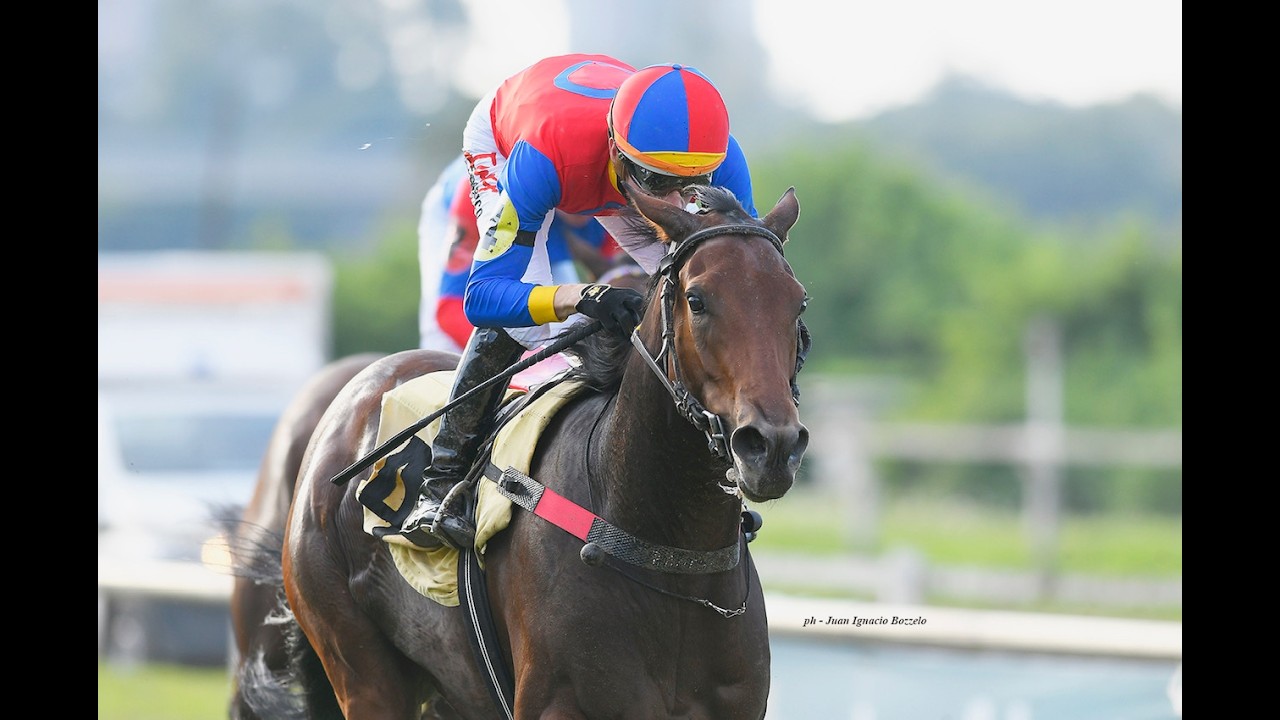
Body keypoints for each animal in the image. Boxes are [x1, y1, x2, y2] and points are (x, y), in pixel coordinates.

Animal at [228, 183, 809, 719]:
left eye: (797, 300)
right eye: (697, 300)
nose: (771, 445)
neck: (667, 553)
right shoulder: (559, 702)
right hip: (357, 663)